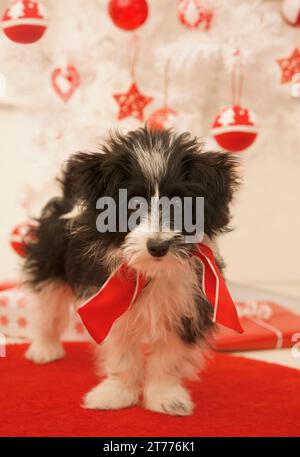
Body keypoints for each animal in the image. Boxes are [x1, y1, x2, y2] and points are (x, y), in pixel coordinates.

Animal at [23, 126, 238, 416]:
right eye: (133, 205)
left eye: (180, 205)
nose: (158, 246)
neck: (150, 272)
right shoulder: (107, 302)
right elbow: (122, 355)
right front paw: (116, 395)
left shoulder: (189, 304)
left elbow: (170, 357)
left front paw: (166, 397)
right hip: (50, 260)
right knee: (48, 305)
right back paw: (44, 349)